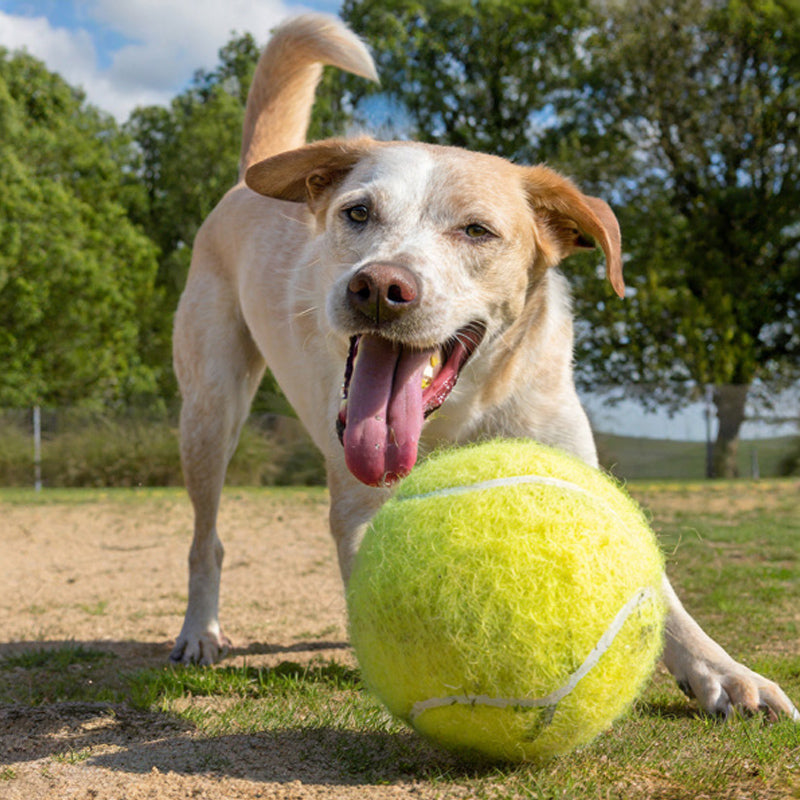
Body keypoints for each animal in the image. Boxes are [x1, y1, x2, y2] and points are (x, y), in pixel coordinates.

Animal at [169, 14, 792, 724]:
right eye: (358, 213)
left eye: (476, 231)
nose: (378, 287)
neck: (459, 415)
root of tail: (241, 186)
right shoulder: (358, 506)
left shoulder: (569, 456)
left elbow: (660, 590)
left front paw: (726, 673)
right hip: (210, 412)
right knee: (207, 541)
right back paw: (199, 632)